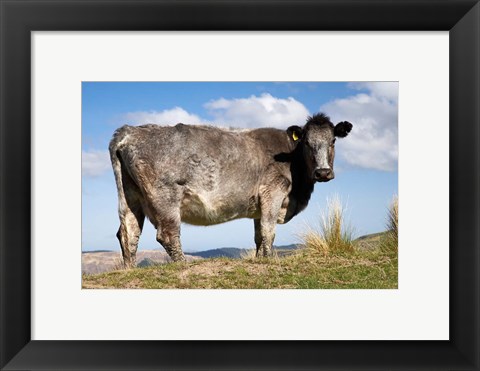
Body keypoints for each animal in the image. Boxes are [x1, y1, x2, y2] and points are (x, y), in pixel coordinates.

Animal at [110, 113, 354, 268]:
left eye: (333, 140)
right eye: (306, 142)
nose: (323, 172)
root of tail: (130, 130)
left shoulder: (258, 205)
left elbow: (258, 235)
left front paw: (259, 258)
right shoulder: (273, 191)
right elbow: (269, 230)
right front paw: (268, 260)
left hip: (130, 195)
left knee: (128, 232)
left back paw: (129, 269)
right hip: (166, 196)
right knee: (167, 234)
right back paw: (182, 264)